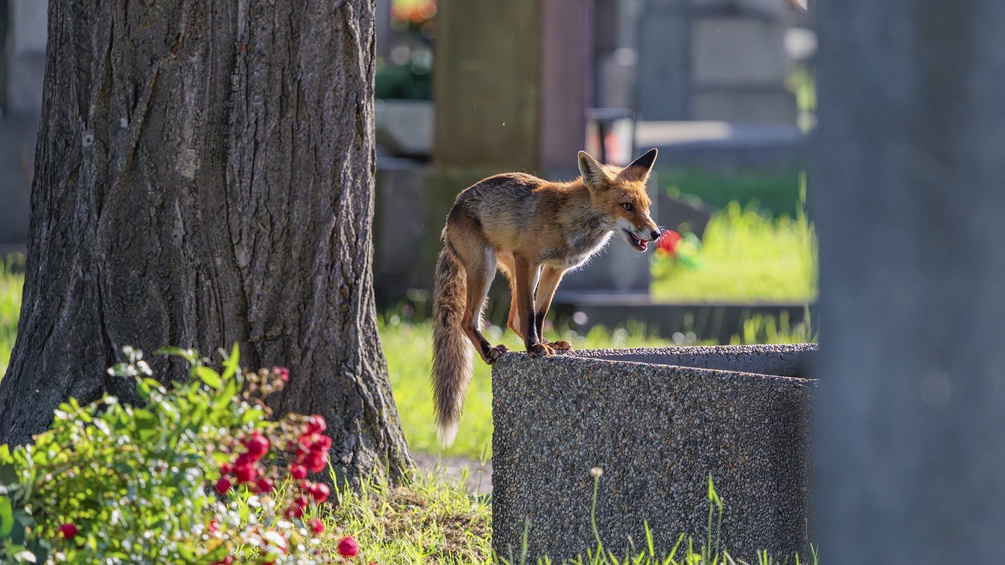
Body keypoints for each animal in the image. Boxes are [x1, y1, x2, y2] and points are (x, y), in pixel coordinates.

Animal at [431, 148, 663, 446]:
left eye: (647, 206)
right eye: (627, 206)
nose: (656, 234)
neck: (572, 221)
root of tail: (451, 214)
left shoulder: (555, 269)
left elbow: (539, 314)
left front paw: (542, 344)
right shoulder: (528, 259)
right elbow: (530, 312)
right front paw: (533, 348)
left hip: (511, 269)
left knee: (513, 320)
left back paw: (543, 342)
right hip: (487, 268)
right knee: (467, 320)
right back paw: (489, 351)